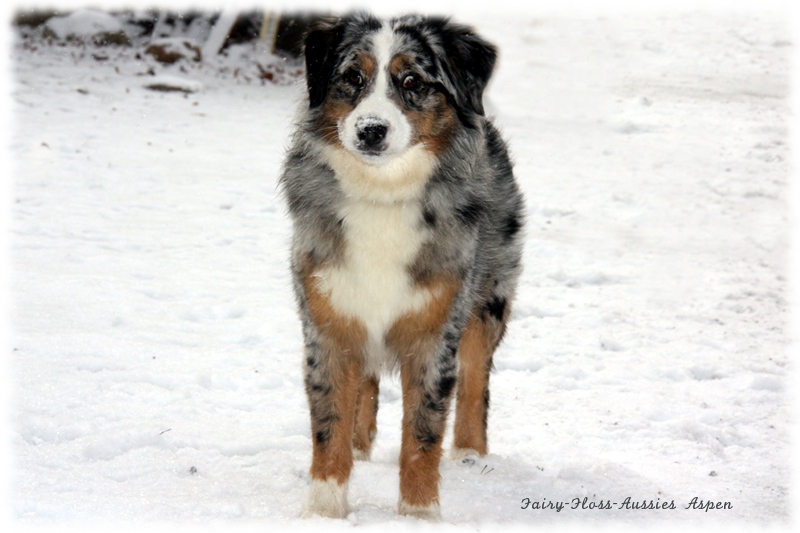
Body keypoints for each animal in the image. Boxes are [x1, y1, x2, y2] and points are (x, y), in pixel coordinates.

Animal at [282, 11, 524, 520]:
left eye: (412, 80)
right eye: (352, 77)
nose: (371, 129)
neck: (382, 193)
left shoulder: (436, 329)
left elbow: (423, 432)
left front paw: (419, 513)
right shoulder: (327, 318)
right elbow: (329, 422)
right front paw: (324, 509)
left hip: (490, 296)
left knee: (475, 377)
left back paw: (470, 452)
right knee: (366, 383)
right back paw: (360, 445)